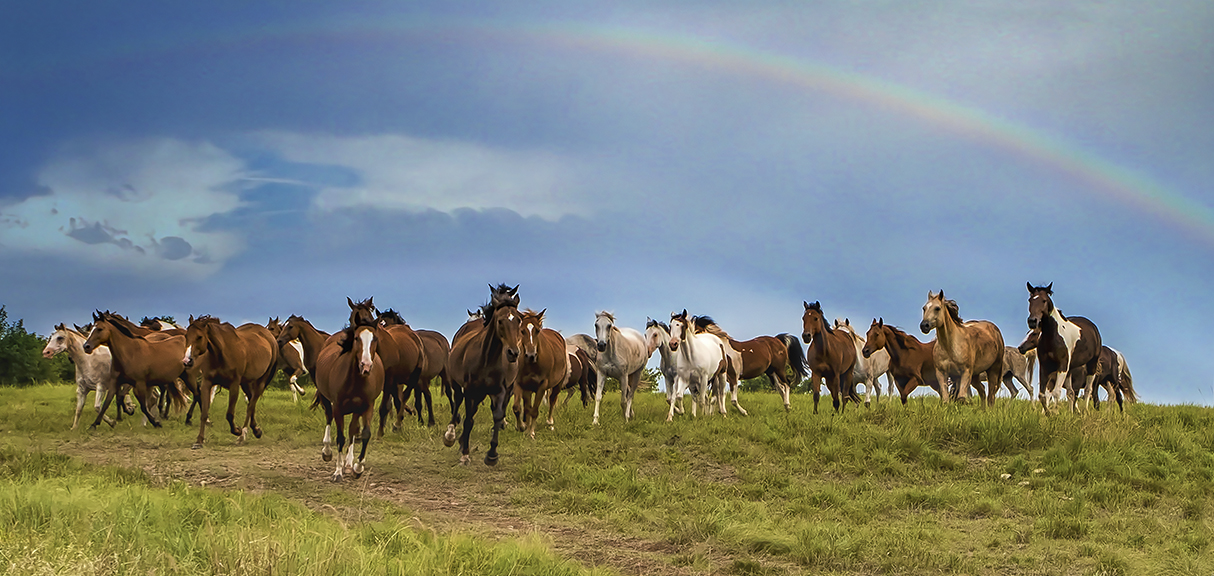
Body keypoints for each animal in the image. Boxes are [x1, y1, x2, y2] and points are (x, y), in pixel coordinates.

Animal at [182, 315, 278, 449]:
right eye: (186, 336)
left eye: (199, 337)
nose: (187, 361)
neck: (221, 353)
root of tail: (269, 335)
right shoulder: (207, 383)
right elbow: (204, 413)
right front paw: (199, 441)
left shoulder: (234, 385)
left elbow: (229, 414)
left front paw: (237, 430)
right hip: (246, 383)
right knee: (251, 402)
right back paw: (256, 430)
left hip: (261, 381)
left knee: (251, 405)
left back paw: (242, 436)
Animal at [313, 323, 383, 481]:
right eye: (357, 338)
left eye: (375, 338)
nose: (366, 365)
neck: (355, 381)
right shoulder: (338, 407)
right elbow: (340, 438)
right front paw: (338, 472)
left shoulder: (367, 406)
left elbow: (364, 434)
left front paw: (357, 468)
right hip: (326, 399)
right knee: (328, 417)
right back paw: (327, 452)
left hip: (357, 409)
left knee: (352, 429)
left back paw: (349, 464)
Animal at [444, 285, 524, 466]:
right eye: (500, 320)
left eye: (519, 320)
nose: (513, 353)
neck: (488, 359)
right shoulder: (470, 390)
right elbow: (468, 419)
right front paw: (465, 454)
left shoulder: (500, 391)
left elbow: (497, 416)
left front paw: (492, 455)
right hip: (457, 383)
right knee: (458, 401)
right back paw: (451, 435)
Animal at [1024, 283, 1102, 413]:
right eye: (1030, 300)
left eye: (1044, 300)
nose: (1032, 321)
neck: (1053, 336)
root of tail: (1092, 326)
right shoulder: (1045, 366)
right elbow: (1042, 395)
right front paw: (1048, 413)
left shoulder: (1062, 366)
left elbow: (1056, 392)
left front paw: (1055, 413)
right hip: (1070, 369)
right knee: (1071, 393)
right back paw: (1072, 413)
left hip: (1092, 364)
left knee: (1088, 390)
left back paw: (1085, 411)